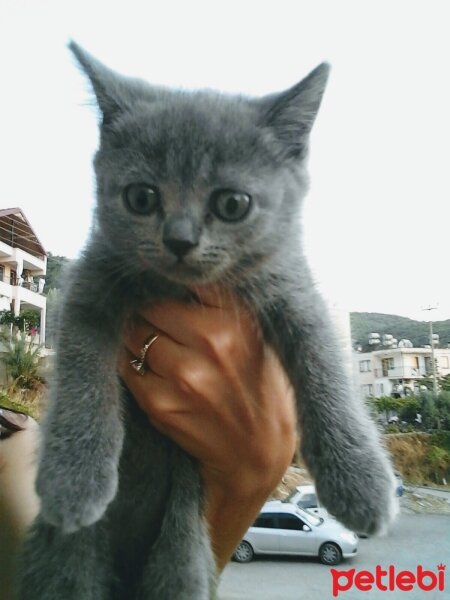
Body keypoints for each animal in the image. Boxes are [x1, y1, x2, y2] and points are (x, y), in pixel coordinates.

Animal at [17, 43, 398, 600]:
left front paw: (362, 483)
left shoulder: (292, 287)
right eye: (141, 197)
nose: (179, 239)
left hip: (180, 538)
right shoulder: (90, 286)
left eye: (232, 203)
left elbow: (325, 364)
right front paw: (73, 480)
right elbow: (83, 376)